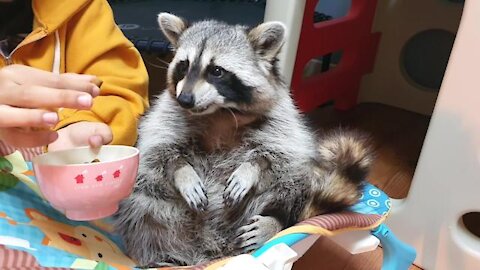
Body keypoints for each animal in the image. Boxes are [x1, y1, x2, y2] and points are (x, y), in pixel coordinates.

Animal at [113, 13, 376, 266]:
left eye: (216, 71)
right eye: (184, 66)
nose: (185, 99)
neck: (220, 111)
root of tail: (213, 248)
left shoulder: (281, 120)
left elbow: (279, 154)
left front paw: (252, 168)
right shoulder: (168, 115)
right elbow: (159, 149)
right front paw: (183, 171)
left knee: (291, 184)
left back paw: (274, 222)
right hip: (157, 207)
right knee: (143, 204)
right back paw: (166, 256)